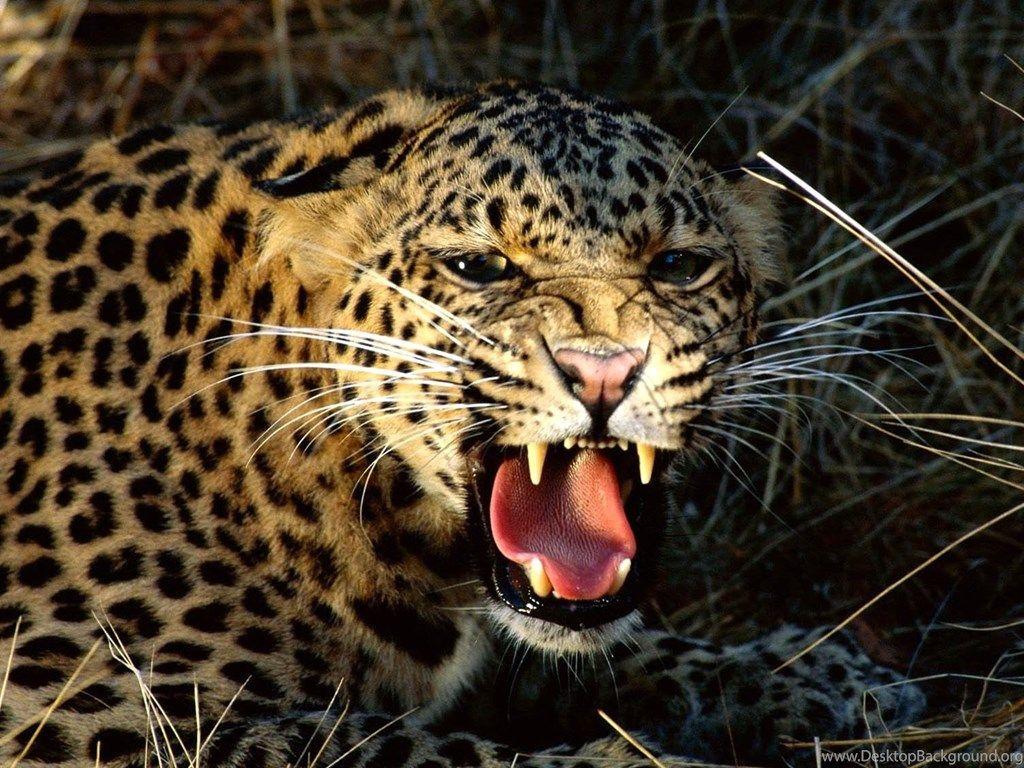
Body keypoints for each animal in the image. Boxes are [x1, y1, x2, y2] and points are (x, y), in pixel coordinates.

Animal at [0, 81, 923, 767]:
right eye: (479, 267)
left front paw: (813, 674)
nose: (604, 369)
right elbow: (396, 748)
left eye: (678, 265)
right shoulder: (73, 701)